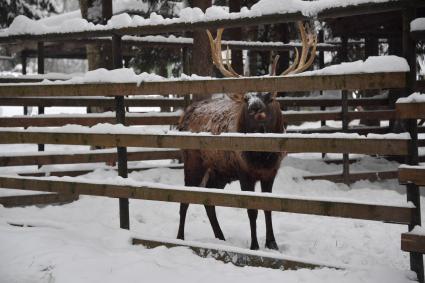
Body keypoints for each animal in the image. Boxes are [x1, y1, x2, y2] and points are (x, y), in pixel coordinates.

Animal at [176, 22, 314, 251]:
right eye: (247, 97)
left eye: (269, 97)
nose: (254, 107)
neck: (262, 156)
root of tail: (183, 116)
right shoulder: (244, 172)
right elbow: (252, 210)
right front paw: (255, 246)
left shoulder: (271, 173)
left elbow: (268, 208)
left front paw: (272, 243)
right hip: (192, 160)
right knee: (185, 198)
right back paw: (180, 238)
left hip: (219, 171)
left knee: (208, 197)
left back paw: (220, 237)